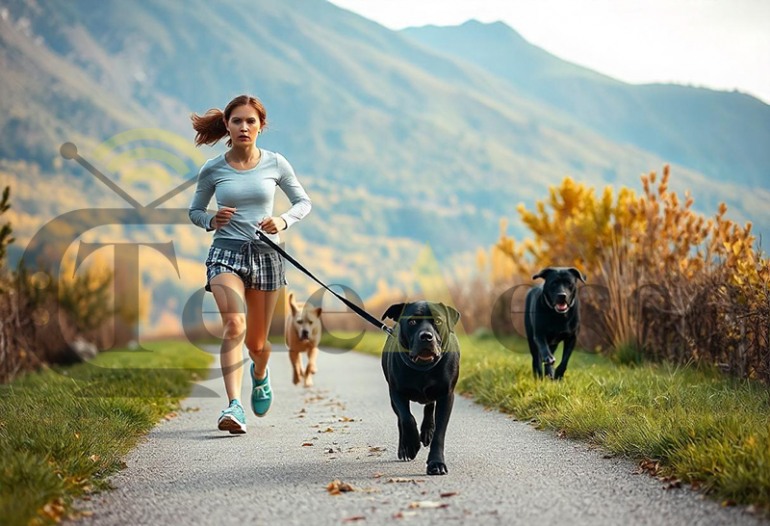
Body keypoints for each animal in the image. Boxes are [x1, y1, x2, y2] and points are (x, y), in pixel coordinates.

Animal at [380, 302, 460, 478]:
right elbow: (407, 418)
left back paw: (427, 431)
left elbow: (440, 432)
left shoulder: (447, 395)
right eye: (412, 322)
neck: (423, 367)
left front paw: (436, 463)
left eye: (438, 321)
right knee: (401, 419)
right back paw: (405, 446)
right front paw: (410, 445)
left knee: (429, 407)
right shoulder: (396, 393)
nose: (426, 336)